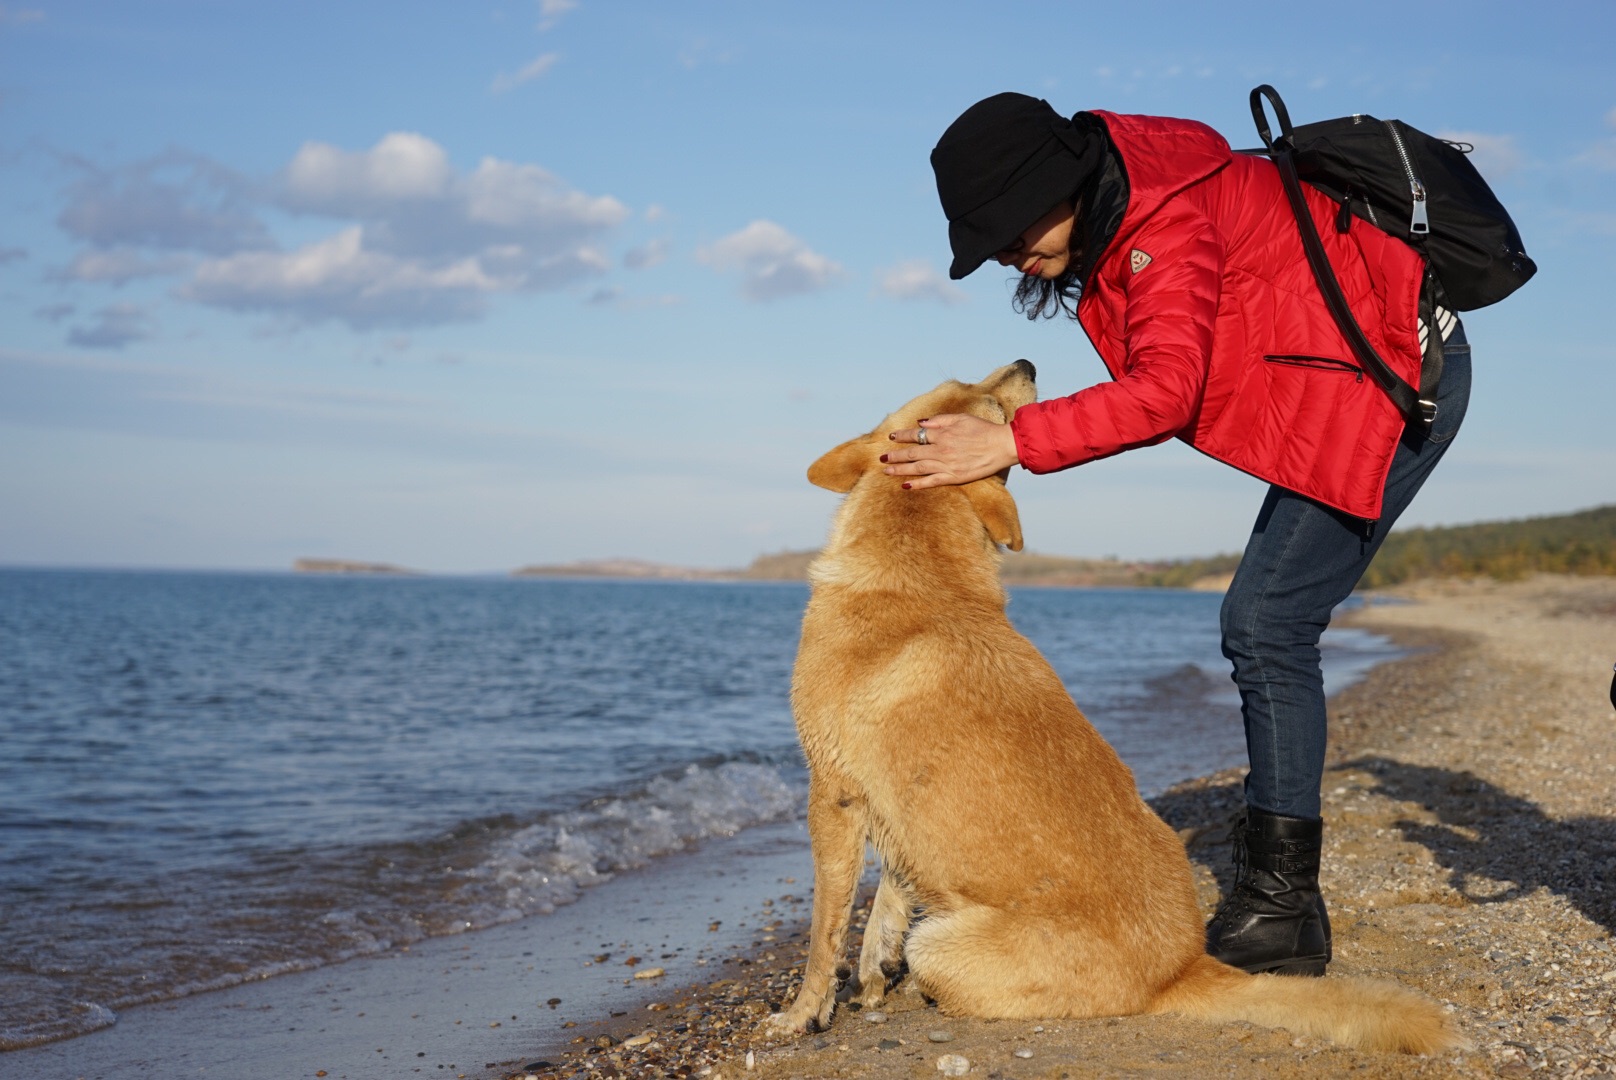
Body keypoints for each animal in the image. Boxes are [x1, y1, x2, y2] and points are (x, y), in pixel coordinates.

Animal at [769, 362, 1467, 1054]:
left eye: (992, 407)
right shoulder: (890, 805)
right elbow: (887, 899)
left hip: (940, 943)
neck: (917, 568)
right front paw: (870, 977)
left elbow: (825, 931)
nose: (1026, 363)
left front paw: (804, 1012)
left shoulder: (832, 795)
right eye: (965, 383)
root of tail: (1180, 969)